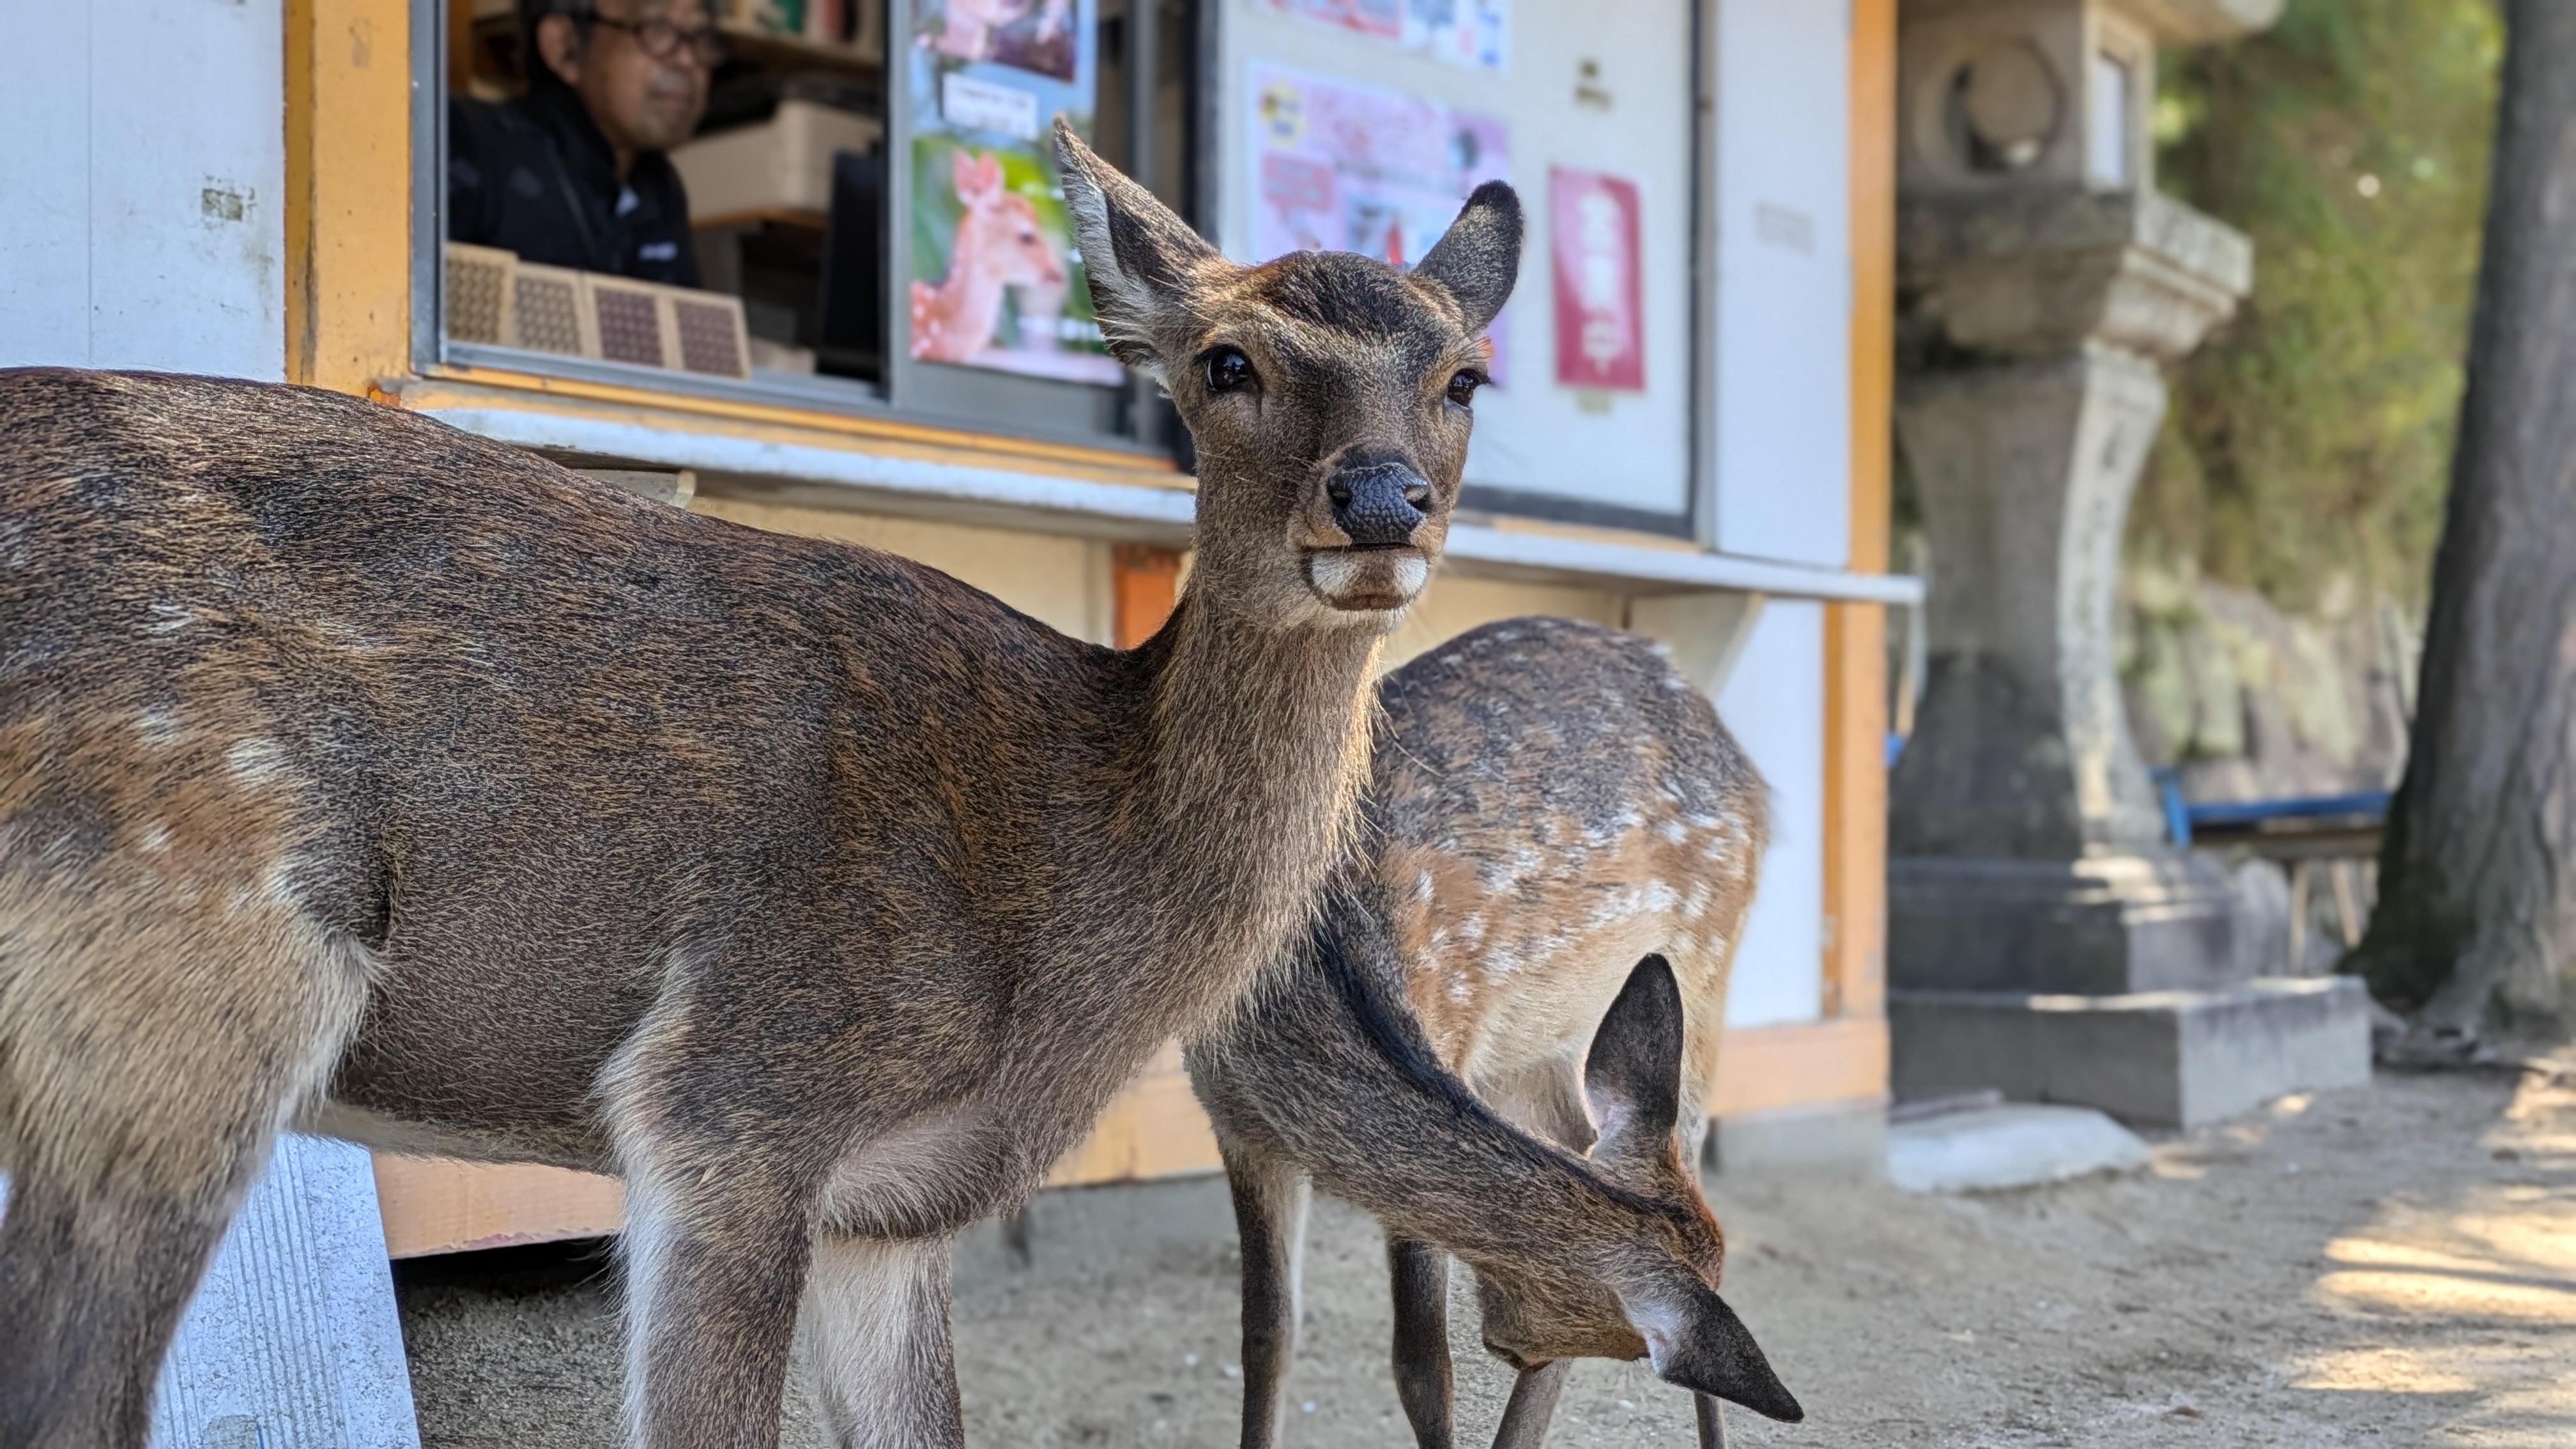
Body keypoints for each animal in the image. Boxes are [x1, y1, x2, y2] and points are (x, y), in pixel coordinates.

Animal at [1188, 616, 1797, 1449]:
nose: (1519, 1353)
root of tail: (1752, 772)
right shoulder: (1230, 1114)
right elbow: (1267, 1334)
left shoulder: (1449, 1033)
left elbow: (1422, 1363)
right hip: (1541, 1048)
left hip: (1707, 965)